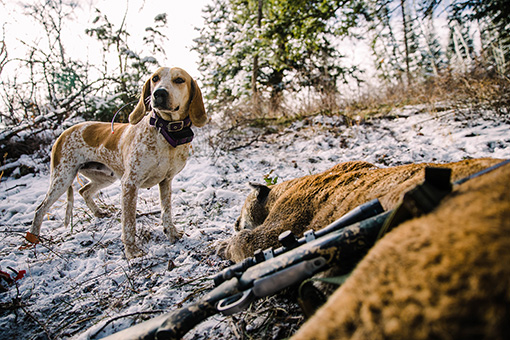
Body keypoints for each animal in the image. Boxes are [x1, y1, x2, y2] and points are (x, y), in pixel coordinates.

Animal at [26, 67, 207, 258]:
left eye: (179, 80)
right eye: (155, 78)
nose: (159, 93)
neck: (166, 132)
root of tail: (64, 132)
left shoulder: (166, 181)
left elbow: (166, 211)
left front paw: (171, 233)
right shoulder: (130, 183)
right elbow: (129, 222)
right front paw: (132, 251)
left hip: (105, 177)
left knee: (84, 191)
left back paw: (98, 213)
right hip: (62, 178)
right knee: (40, 209)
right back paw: (33, 239)